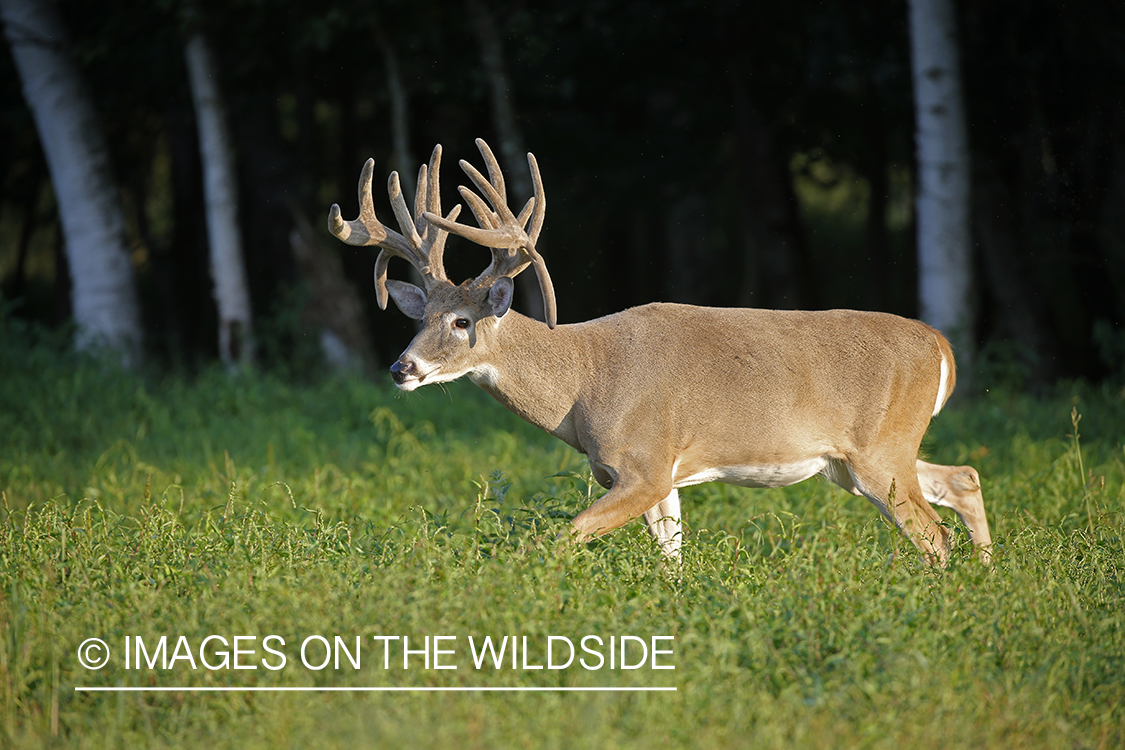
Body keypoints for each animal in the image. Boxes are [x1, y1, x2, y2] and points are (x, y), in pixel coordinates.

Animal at [328, 140, 994, 566]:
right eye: (421, 318)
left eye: (462, 320)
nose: (401, 368)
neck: (582, 383)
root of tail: (939, 345)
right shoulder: (660, 476)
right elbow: (671, 561)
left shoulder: (644, 464)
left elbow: (560, 539)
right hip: (854, 463)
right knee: (962, 477)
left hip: (880, 450)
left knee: (934, 537)